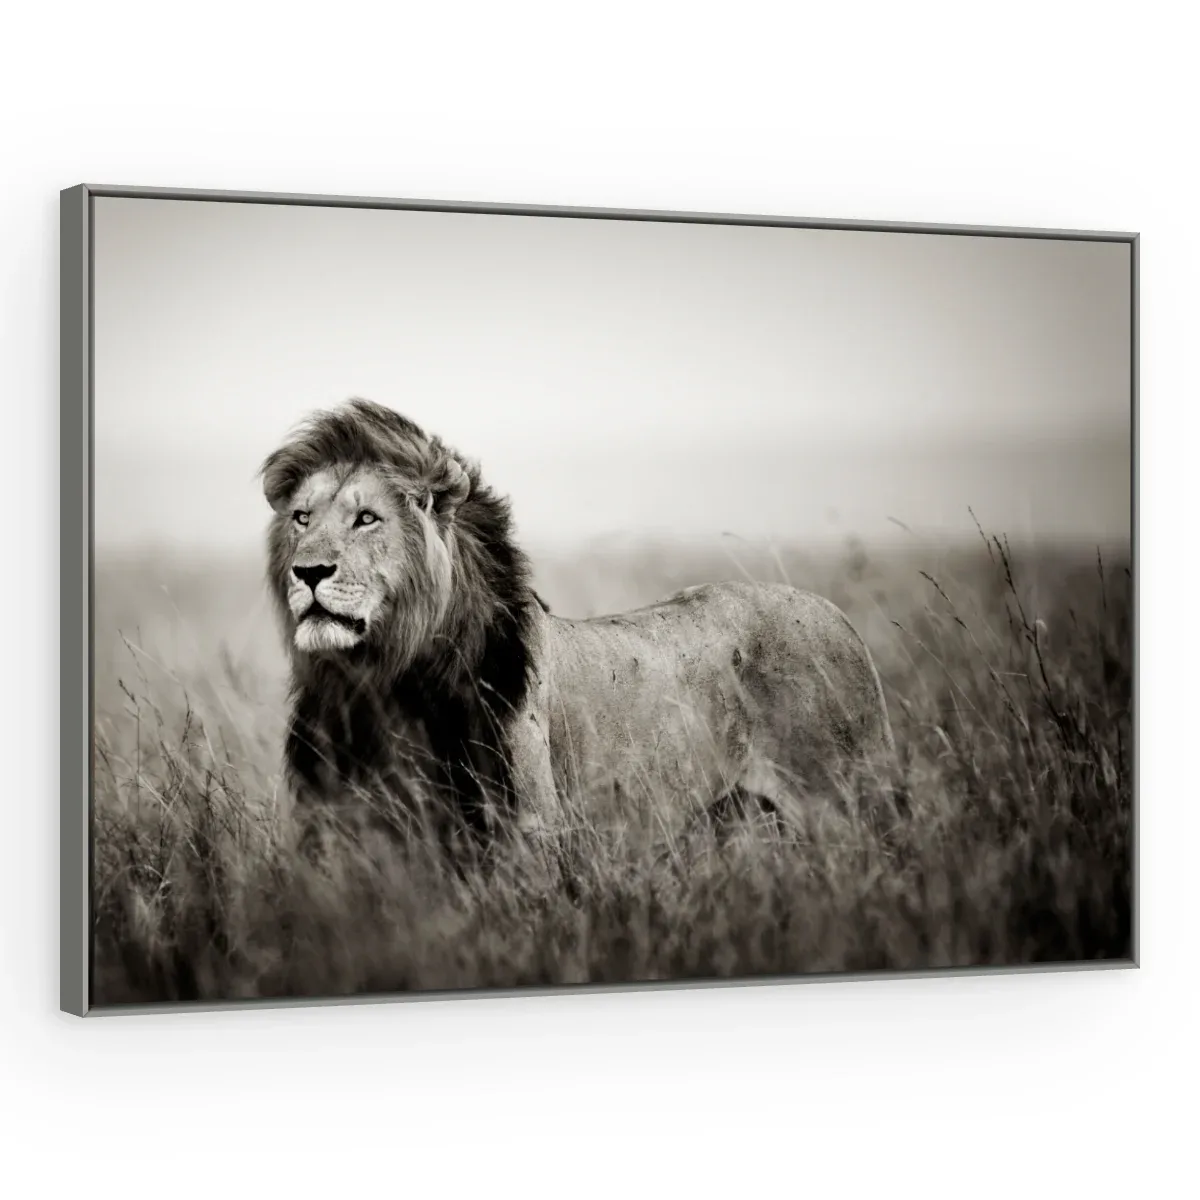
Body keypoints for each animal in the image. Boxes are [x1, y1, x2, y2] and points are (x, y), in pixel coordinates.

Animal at [261, 399, 897, 850]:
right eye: (302, 518)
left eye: (366, 519)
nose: (307, 571)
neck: (380, 682)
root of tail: (839, 617)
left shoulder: (527, 834)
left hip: (849, 803)